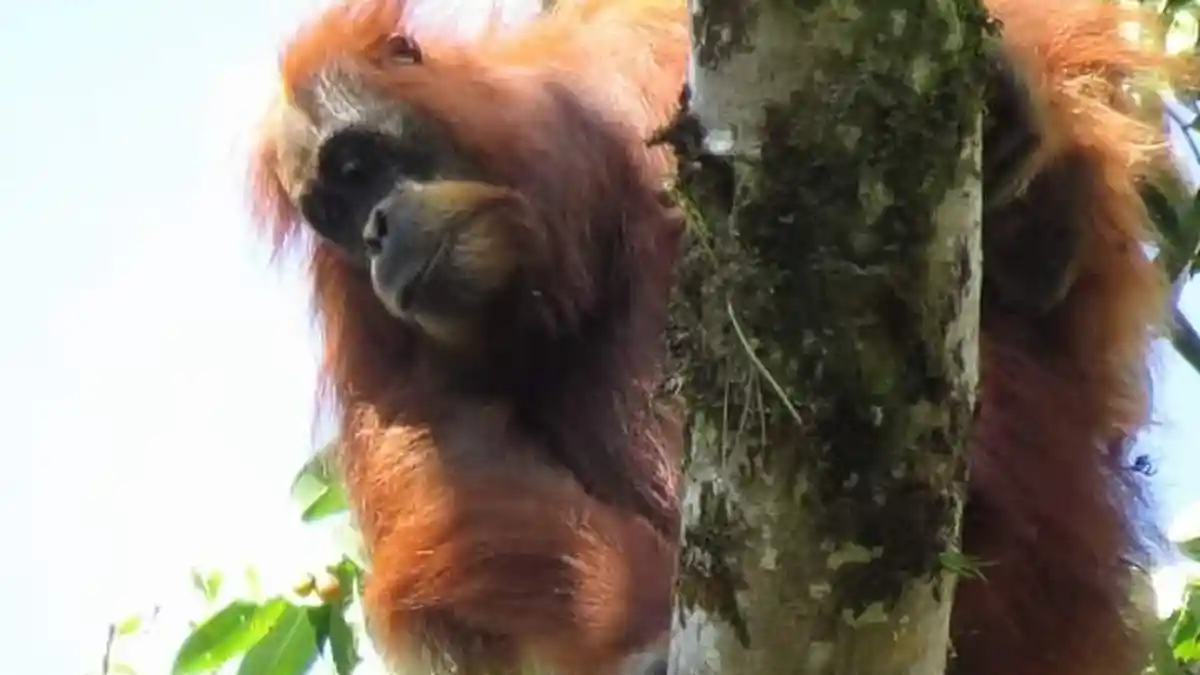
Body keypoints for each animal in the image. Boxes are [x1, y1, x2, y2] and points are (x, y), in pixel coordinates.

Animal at [245, 0, 1178, 674]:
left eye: (358, 165)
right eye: (331, 211)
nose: (374, 230)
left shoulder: (625, 54)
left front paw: (1019, 108)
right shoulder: (366, 318)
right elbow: (452, 465)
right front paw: (643, 630)